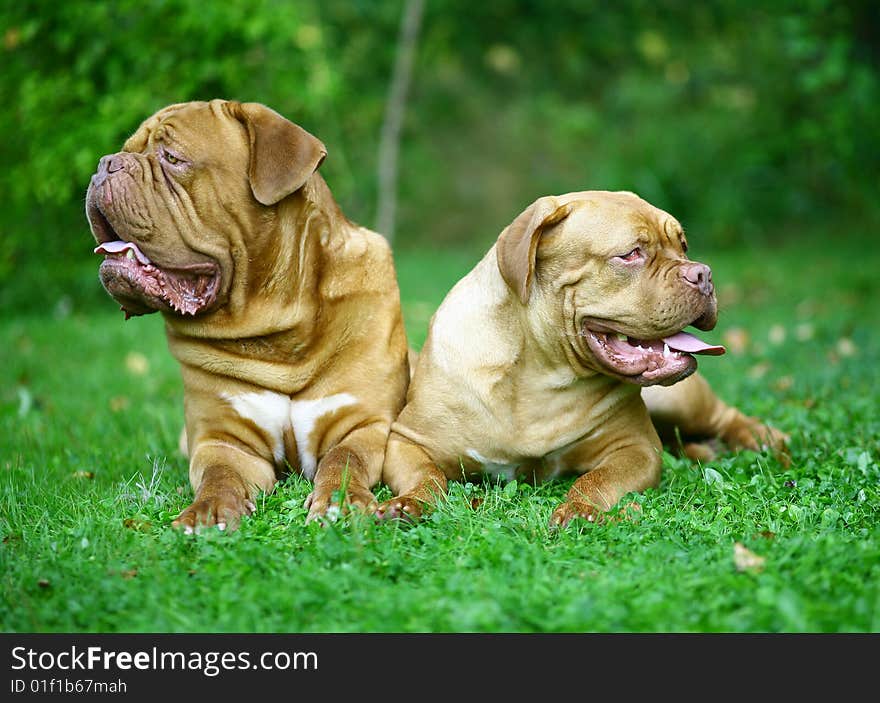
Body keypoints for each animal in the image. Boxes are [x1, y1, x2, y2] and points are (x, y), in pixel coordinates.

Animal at [86, 97, 410, 528]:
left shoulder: (362, 424)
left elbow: (344, 460)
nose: (105, 164)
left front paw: (341, 503)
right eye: (126, 150)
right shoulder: (224, 440)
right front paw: (207, 513)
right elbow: (219, 475)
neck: (278, 331)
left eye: (172, 158)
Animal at [374, 190, 788, 524]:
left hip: (678, 400)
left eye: (683, 246)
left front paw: (579, 509)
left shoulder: (633, 448)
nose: (703, 274)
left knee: (725, 417)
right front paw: (407, 504)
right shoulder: (408, 442)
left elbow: (596, 479)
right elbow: (427, 478)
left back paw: (767, 440)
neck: (539, 373)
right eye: (631, 253)